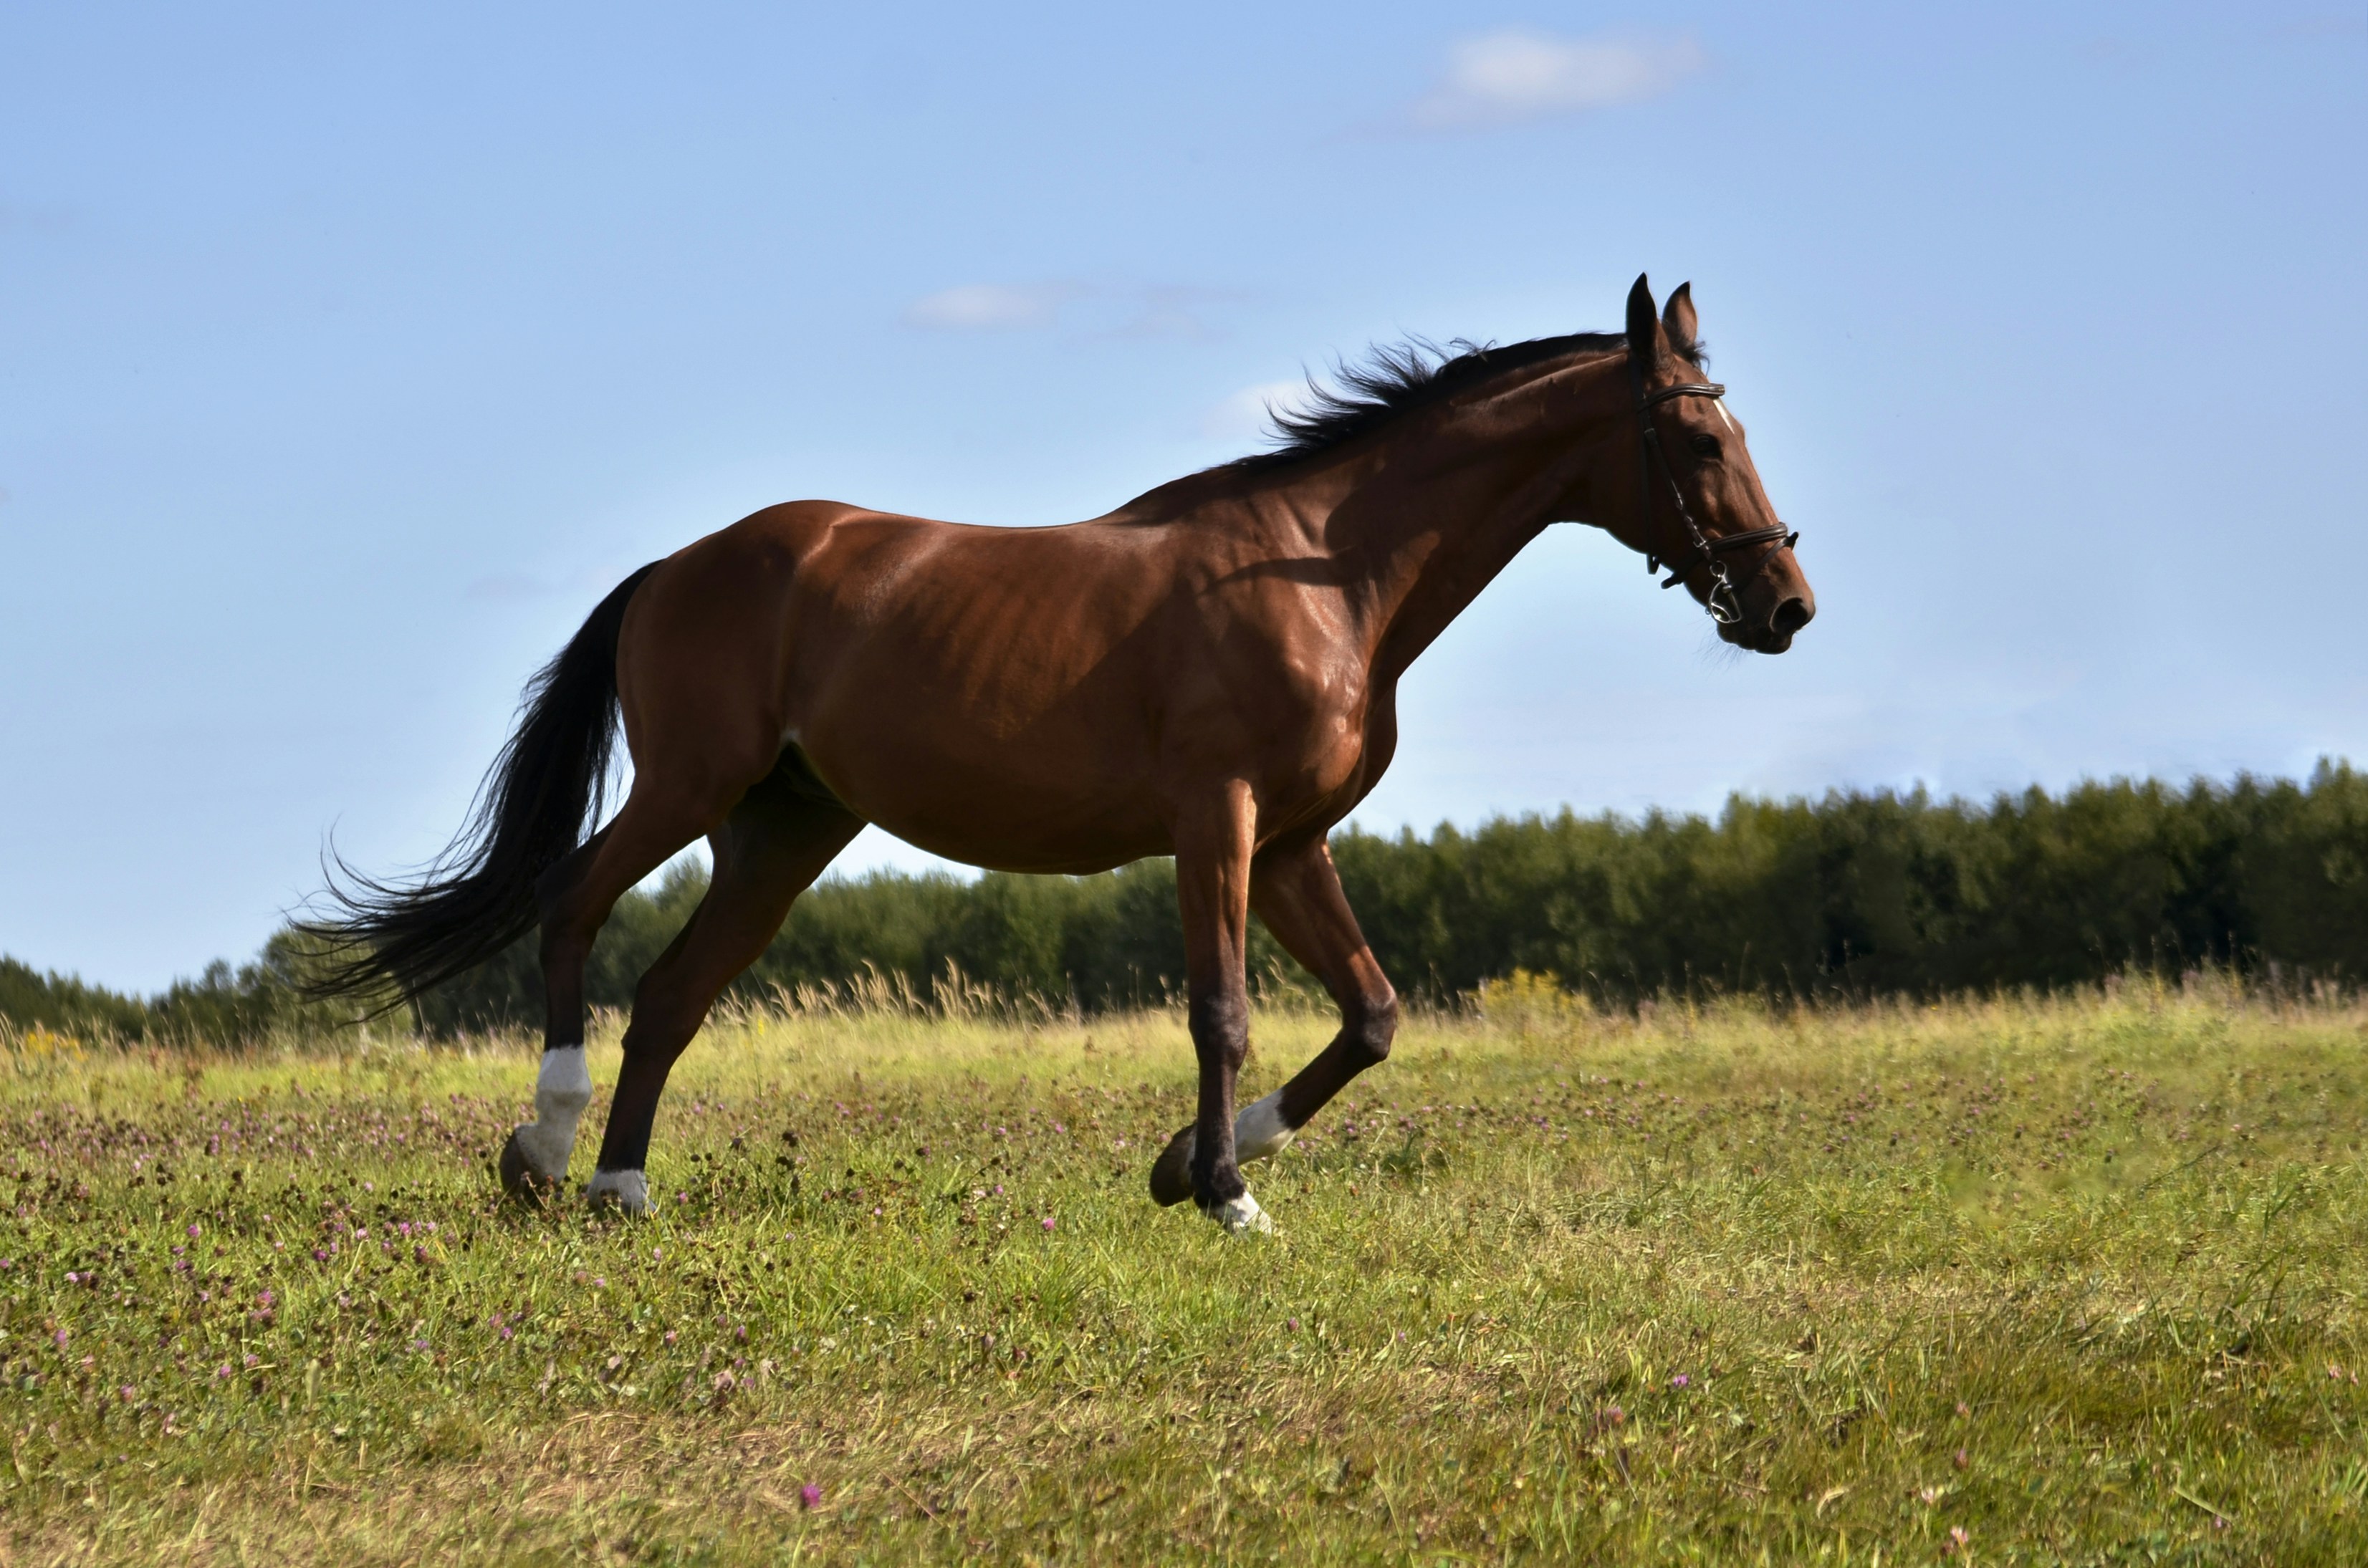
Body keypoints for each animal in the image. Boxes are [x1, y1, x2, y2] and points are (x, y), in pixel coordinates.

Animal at [311, 274, 1814, 1232]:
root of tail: (678, 564)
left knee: (675, 992)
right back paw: (544, 1148)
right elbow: (1222, 1009)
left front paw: (1191, 1162)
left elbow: (1373, 1015)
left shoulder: (1293, 841)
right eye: (1696, 435)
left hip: (783, 830)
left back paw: (621, 1188)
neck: (1329, 574)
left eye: (1741, 425)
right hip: (692, 784)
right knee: (573, 906)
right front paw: (1224, 1193)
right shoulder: (1219, 820)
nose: (1786, 605)